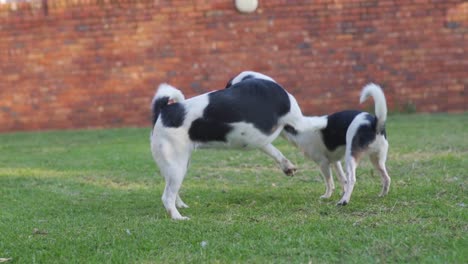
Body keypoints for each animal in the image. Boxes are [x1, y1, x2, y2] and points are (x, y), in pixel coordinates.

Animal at [150, 73, 326, 220]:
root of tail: (163, 110)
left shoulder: (263, 140)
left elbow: (276, 152)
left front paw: (287, 166)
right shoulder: (299, 122)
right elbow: (321, 120)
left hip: (178, 166)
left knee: (172, 191)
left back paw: (181, 206)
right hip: (177, 166)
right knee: (167, 197)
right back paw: (177, 217)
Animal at [230, 72, 392, 206]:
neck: (297, 129)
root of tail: (375, 123)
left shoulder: (323, 163)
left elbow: (330, 182)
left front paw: (328, 196)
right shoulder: (335, 161)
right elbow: (342, 180)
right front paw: (341, 191)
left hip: (351, 157)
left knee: (352, 178)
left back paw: (344, 201)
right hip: (377, 159)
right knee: (386, 177)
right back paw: (382, 195)